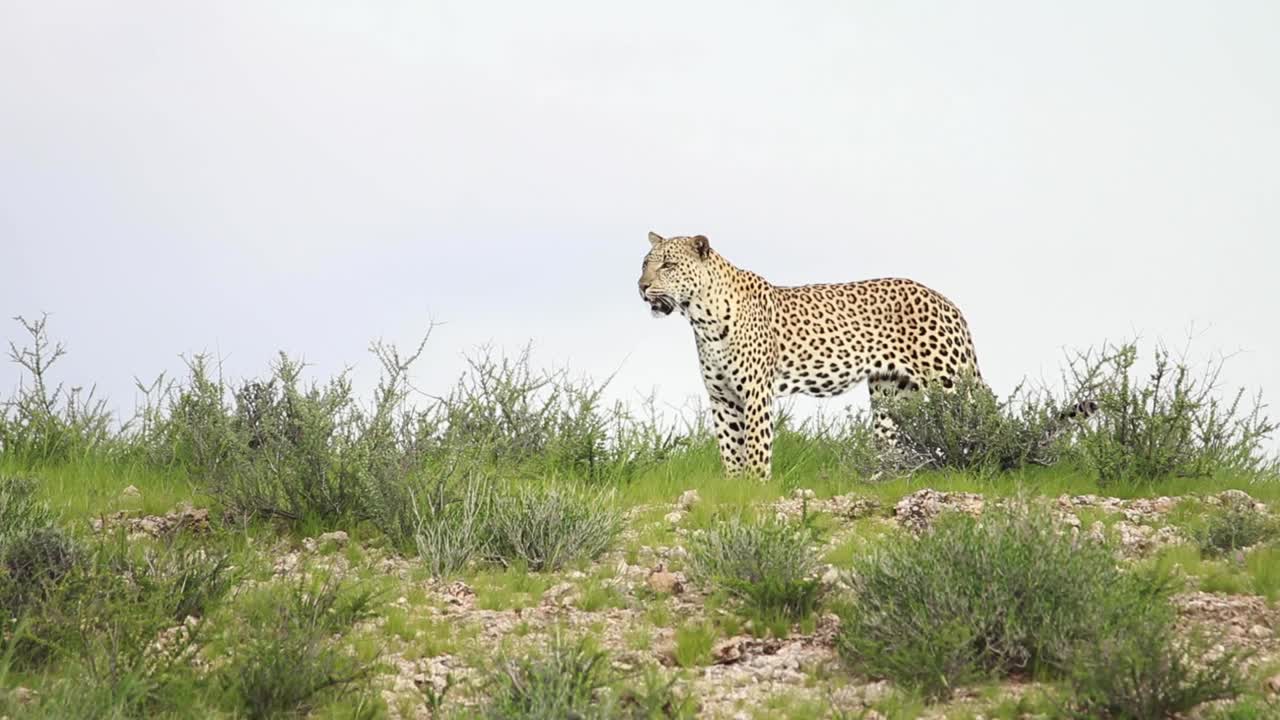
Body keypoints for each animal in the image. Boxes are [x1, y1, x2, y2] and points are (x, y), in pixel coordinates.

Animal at [637, 231, 985, 479]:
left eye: (668, 265)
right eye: (645, 264)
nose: (641, 286)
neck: (701, 316)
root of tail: (944, 299)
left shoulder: (756, 392)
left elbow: (756, 447)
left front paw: (755, 486)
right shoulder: (722, 397)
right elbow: (729, 448)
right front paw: (734, 486)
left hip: (949, 378)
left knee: (979, 416)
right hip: (891, 393)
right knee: (893, 442)